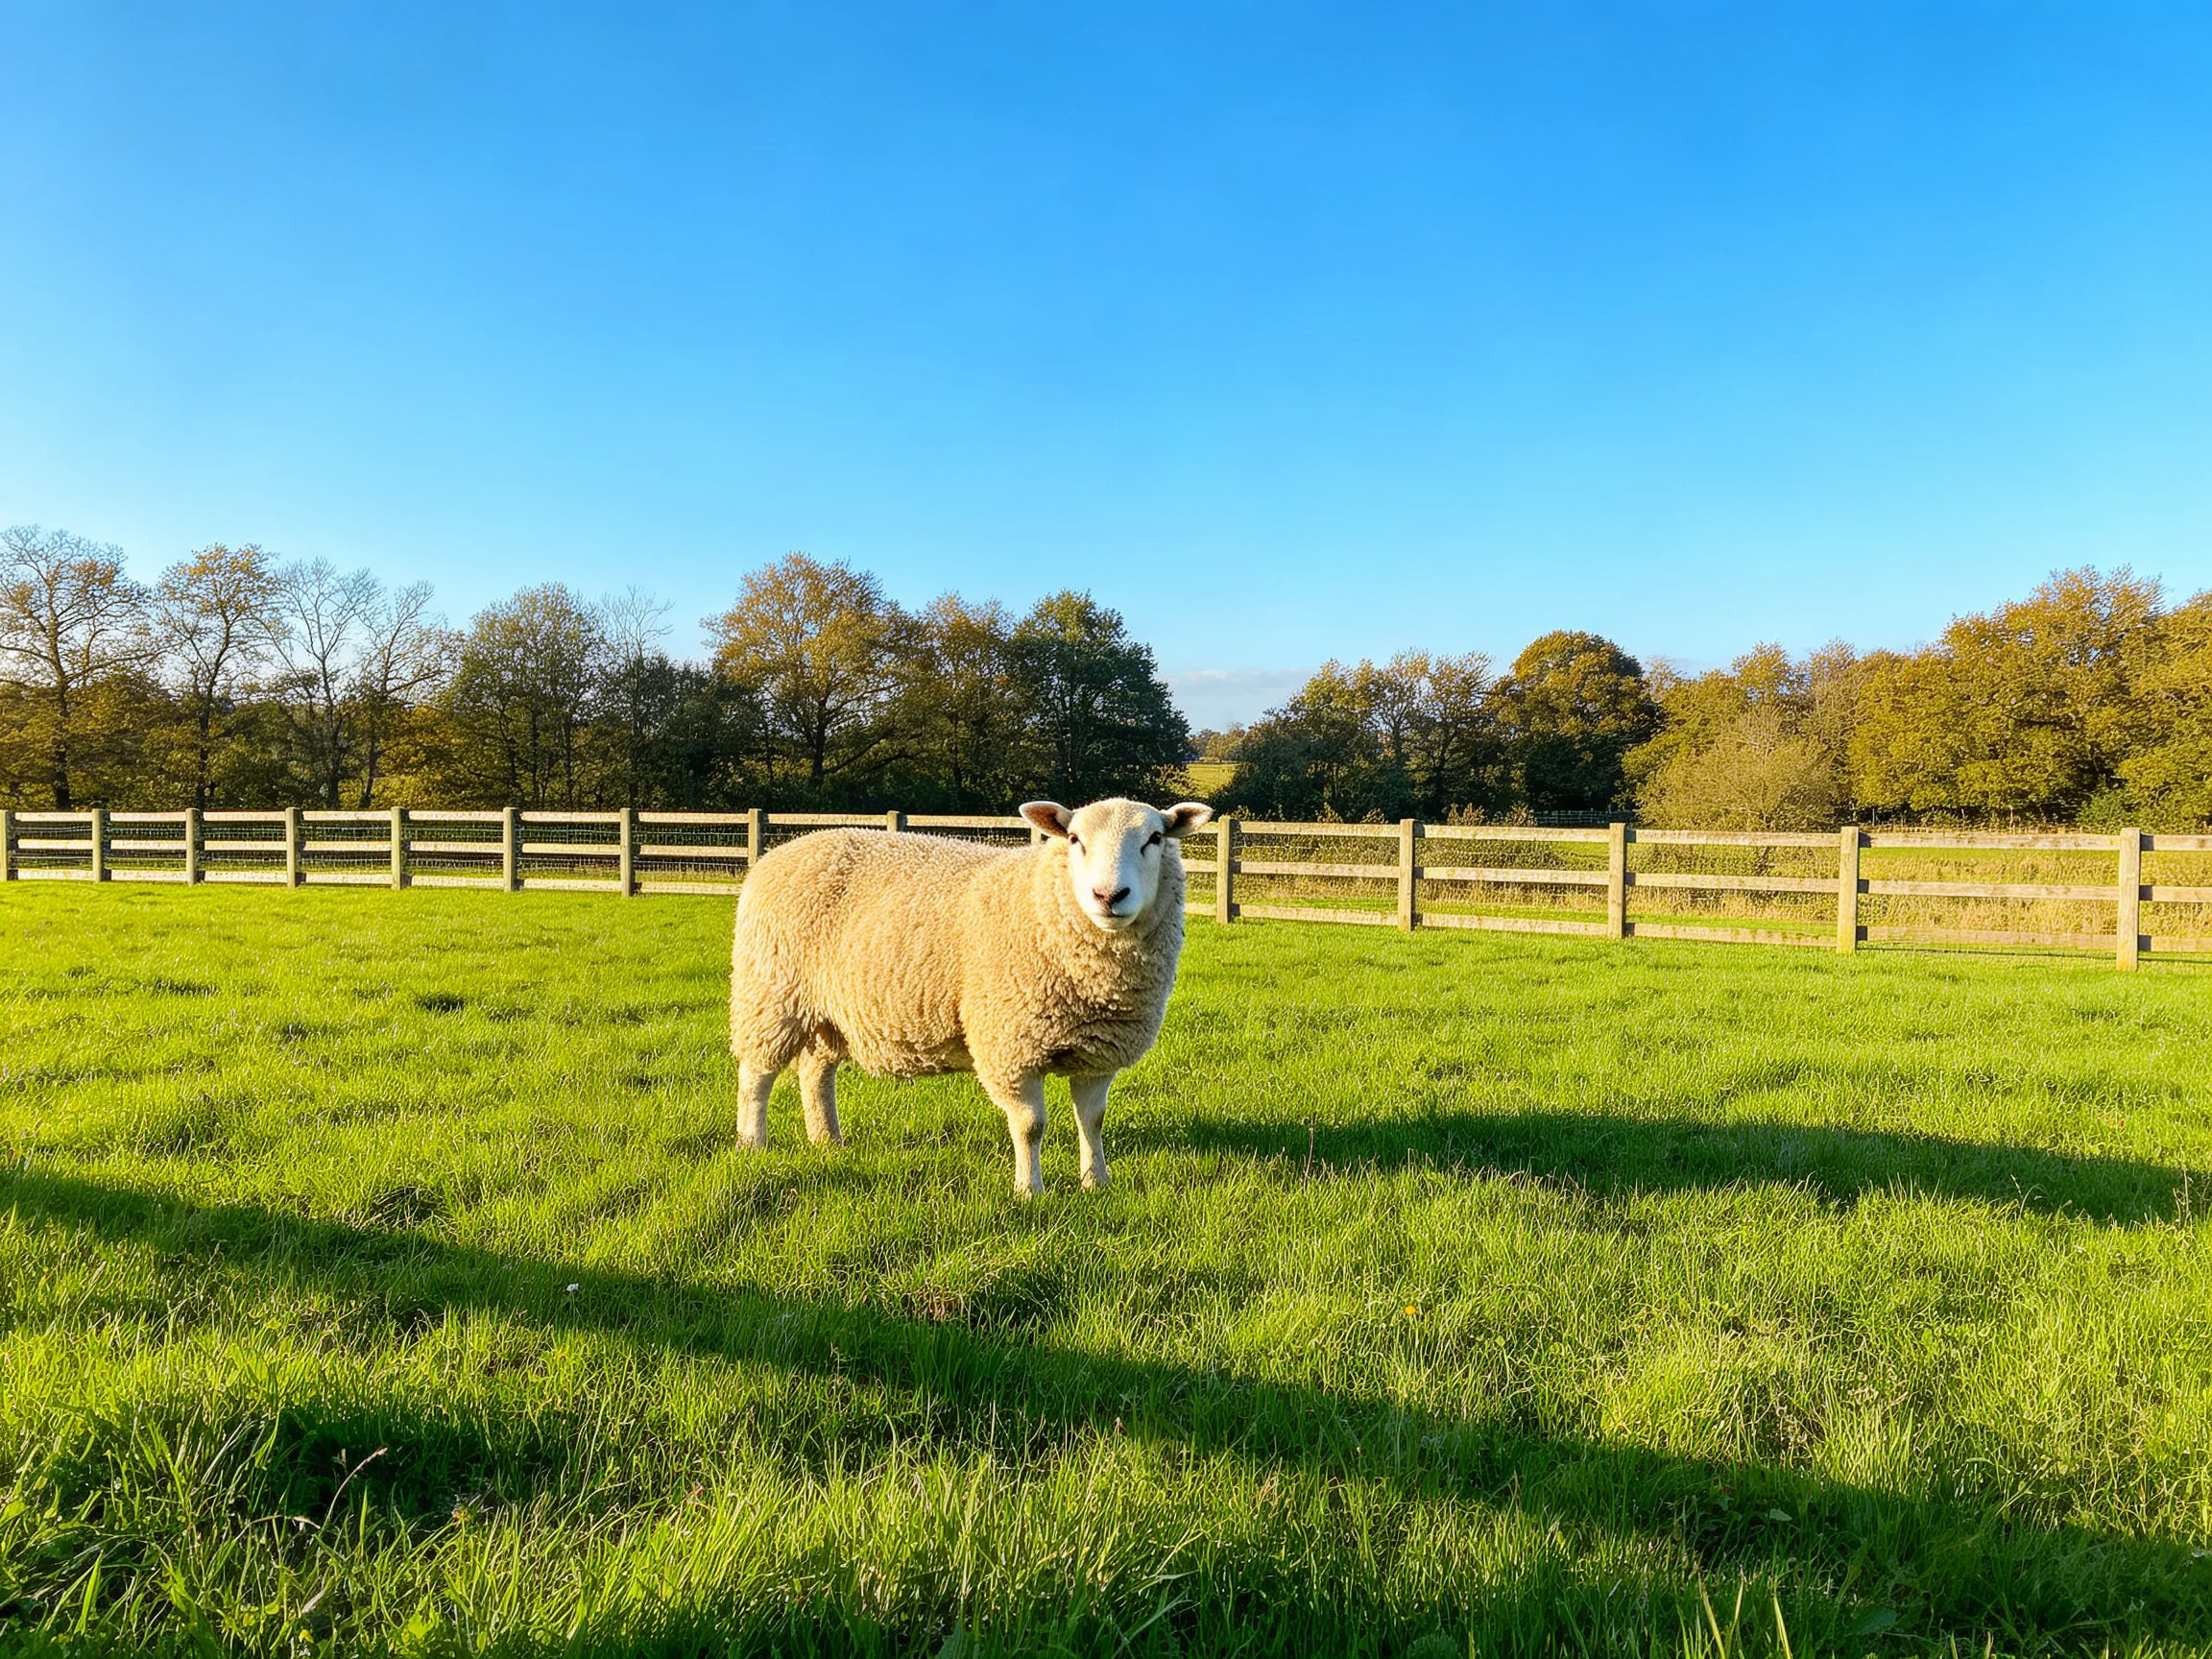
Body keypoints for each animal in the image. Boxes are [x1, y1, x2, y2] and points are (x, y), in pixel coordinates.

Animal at [727, 797, 1215, 1195]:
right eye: (1075, 839)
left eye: (1155, 838)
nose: (1109, 895)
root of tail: (781, 851)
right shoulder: (1011, 1046)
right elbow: (1030, 1126)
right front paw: (1029, 1190)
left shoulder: (1098, 1053)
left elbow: (1092, 1121)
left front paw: (1097, 1183)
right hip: (770, 994)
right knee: (756, 1076)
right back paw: (752, 1144)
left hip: (826, 1010)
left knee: (815, 1071)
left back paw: (828, 1141)